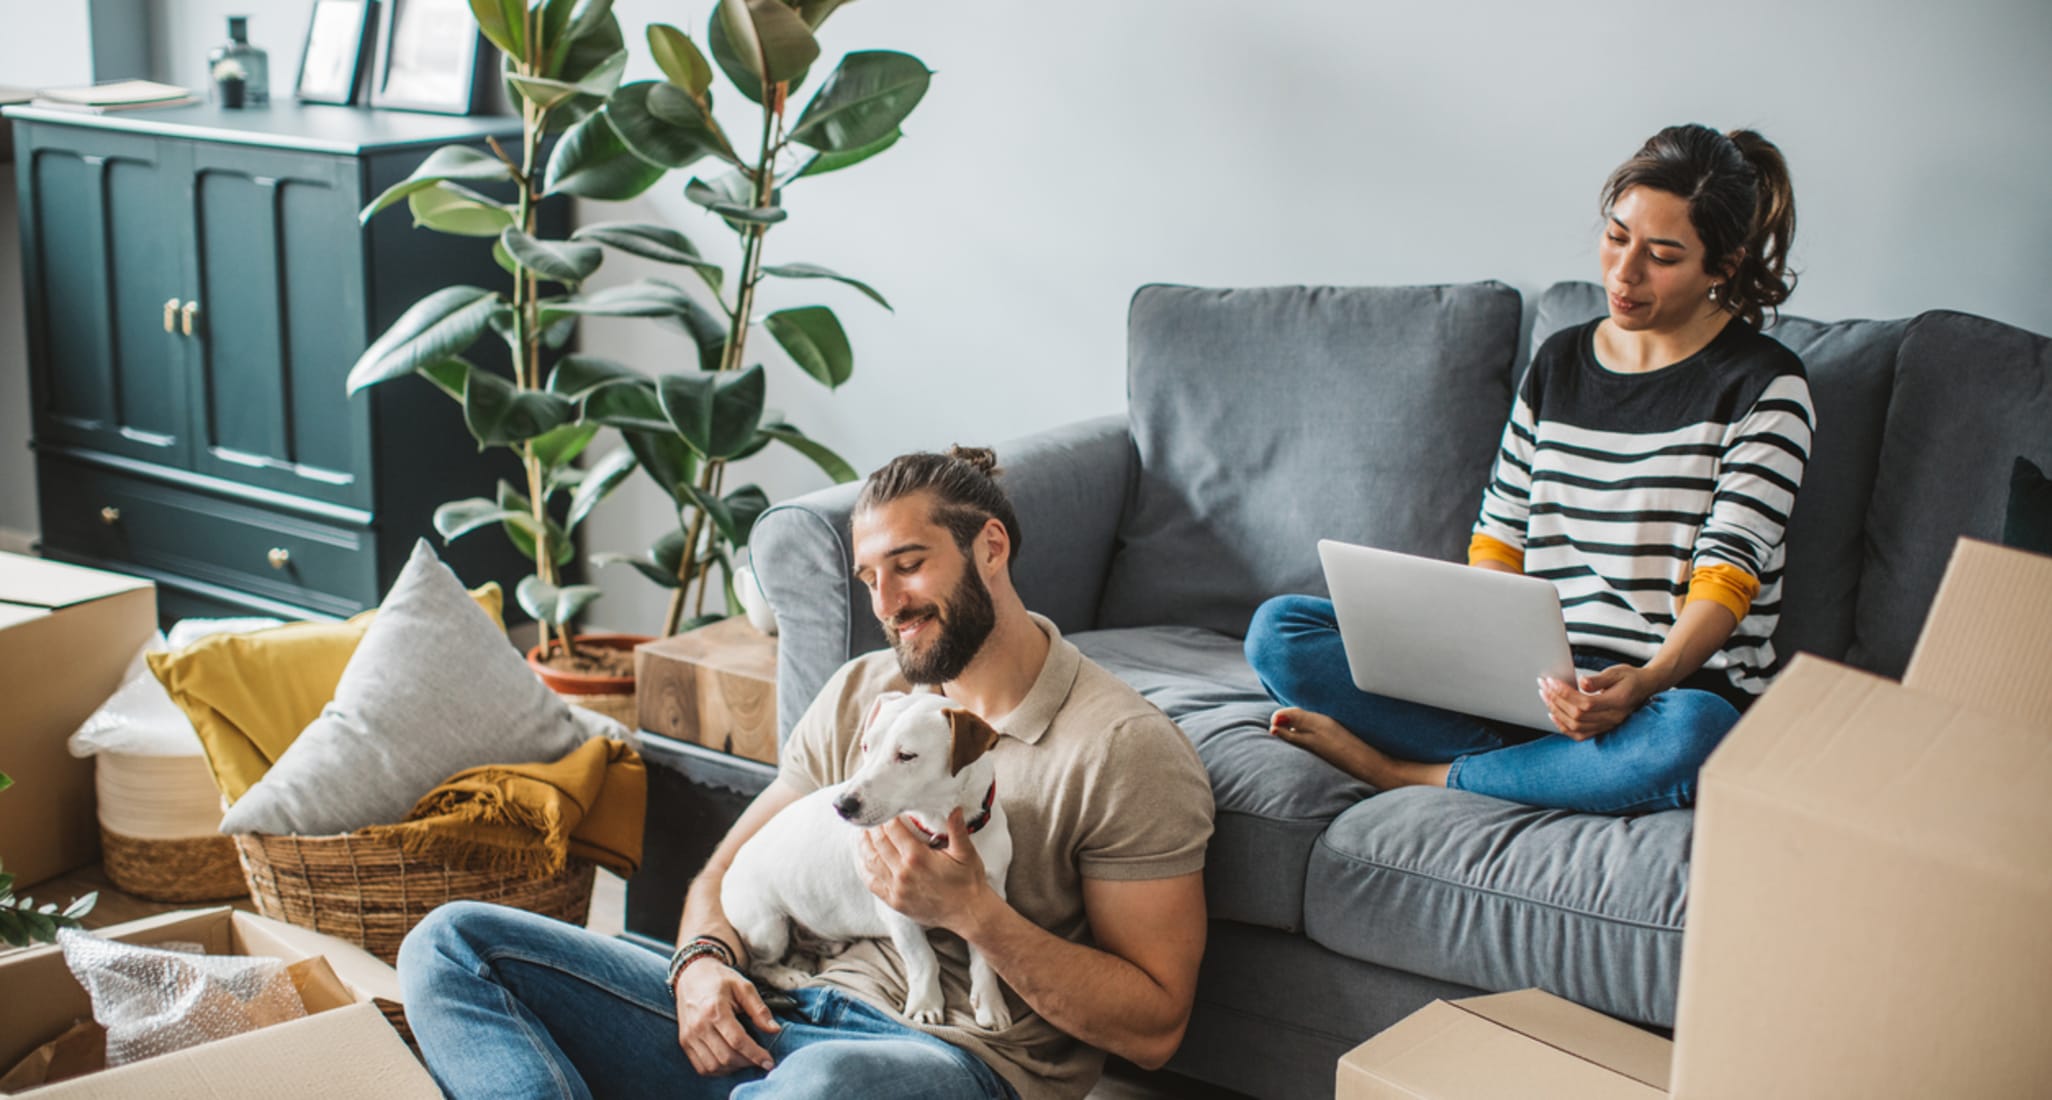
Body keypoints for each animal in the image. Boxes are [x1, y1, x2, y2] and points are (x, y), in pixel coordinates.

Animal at [722, 693, 1017, 1026]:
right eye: (866, 746)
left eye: (906, 756)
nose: (841, 804)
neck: (939, 828)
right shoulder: (897, 913)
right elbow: (924, 959)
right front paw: (926, 1003)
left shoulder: (985, 904)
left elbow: (985, 959)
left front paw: (990, 1003)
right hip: (767, 928)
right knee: (756, 965)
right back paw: (787, 976)